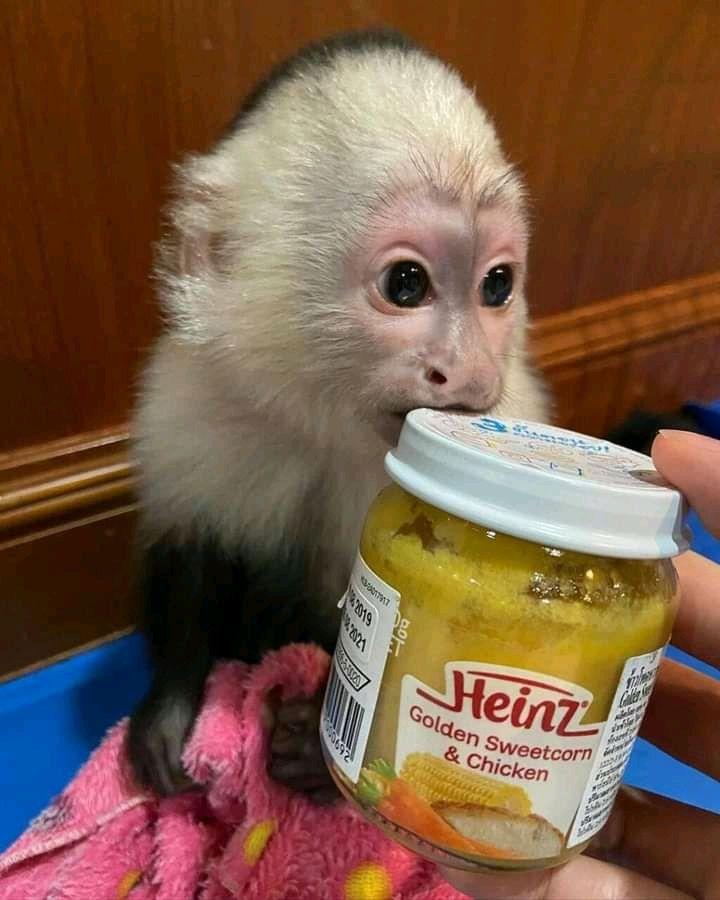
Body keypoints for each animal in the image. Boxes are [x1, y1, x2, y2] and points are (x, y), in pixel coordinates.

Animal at [127, 28, 550, 801]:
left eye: (498, 285)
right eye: (407, 283)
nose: (472, 371)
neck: (328, 429)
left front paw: (315, 749)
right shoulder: (191, 403)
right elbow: (190, 552)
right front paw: (172, 708)